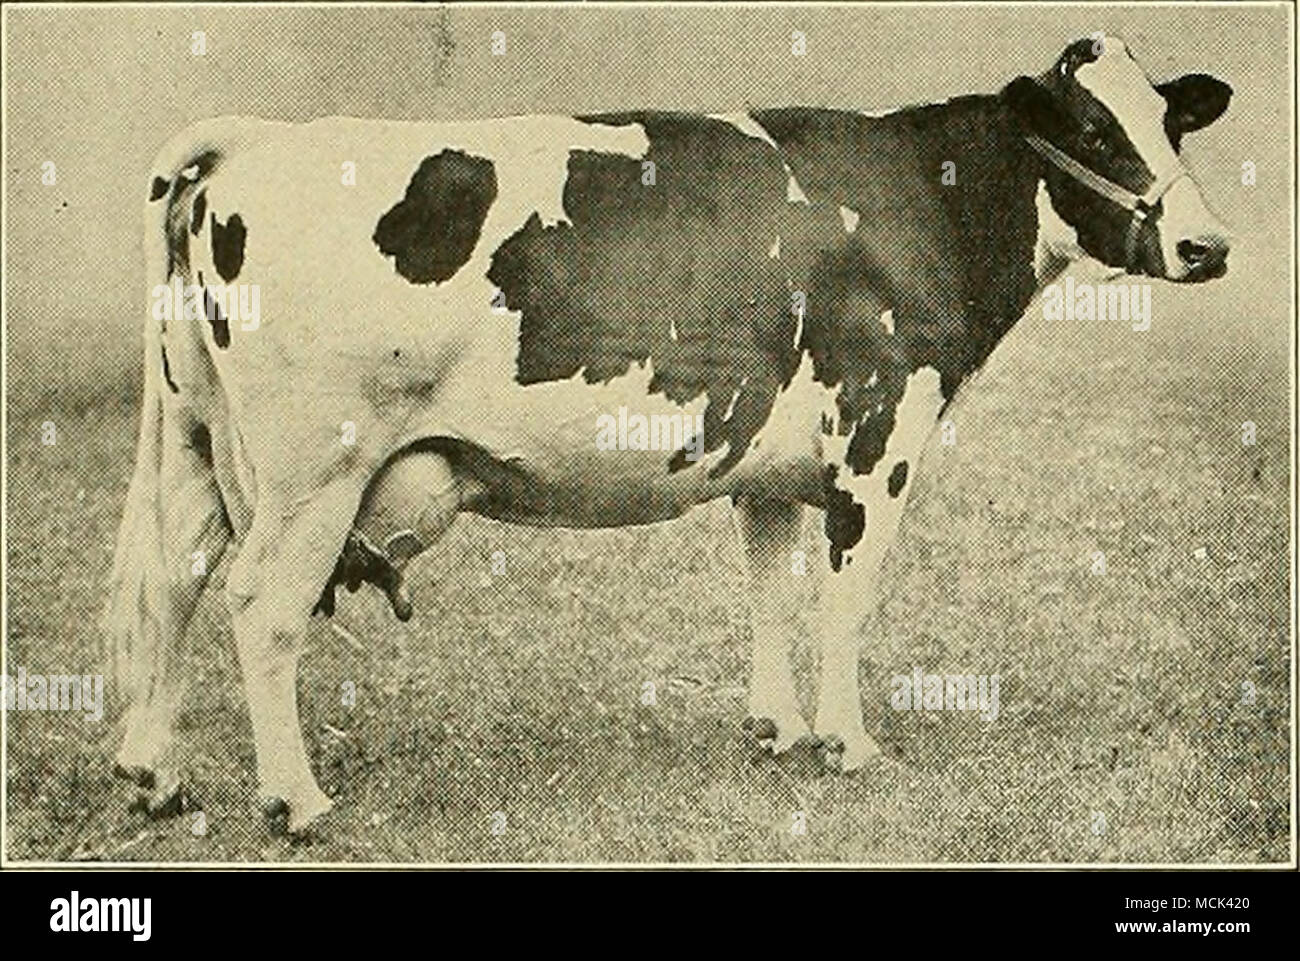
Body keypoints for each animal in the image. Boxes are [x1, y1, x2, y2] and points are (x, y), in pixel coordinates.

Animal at [104, 35, 1232, 835]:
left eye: (1171, 128)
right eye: (1096, 133)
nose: (1206, 246)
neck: (922, 194)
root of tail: (260, 136)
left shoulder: (773, 463)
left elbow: (772, 592)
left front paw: (776, 730)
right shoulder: (879, 436)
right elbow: (844, 603)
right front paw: (848, 744)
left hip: (198, 437)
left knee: (171, 578)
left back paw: (153, 774)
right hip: (316, 466)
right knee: (260, 603)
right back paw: (296, 802)